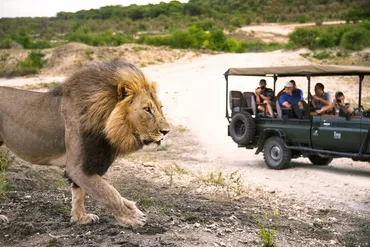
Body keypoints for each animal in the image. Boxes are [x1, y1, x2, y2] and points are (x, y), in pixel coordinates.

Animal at [0, 60, 171, 228]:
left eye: (160, 107)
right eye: (147, 109)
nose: (166, 131)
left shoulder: (89, 161)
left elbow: (79, 193)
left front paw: (81, 217)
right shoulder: (77, 166)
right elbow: (109, 192)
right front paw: (132, 217)